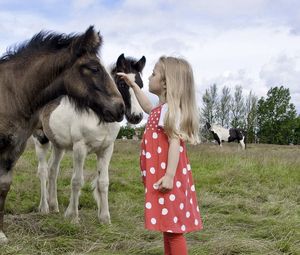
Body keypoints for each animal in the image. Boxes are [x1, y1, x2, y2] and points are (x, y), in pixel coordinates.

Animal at [0, 25, 124, 243]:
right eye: (94, 68)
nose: (121, 108)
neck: (11, 95)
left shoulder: (12, 151)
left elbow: (3, 188)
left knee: (51, 170)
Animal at [32, 53, 145, 223]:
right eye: (122, 84)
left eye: (141, 85)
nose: (136, 117)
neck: (99, 117)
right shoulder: (80, 148)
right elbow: (77, 181)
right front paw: (73, 215)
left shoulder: (106, 149)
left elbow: (103, 182)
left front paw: (105, 218)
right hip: (41, 140)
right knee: (43, 171)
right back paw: (44, 207)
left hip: (59, 145)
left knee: (53, 170)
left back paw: (54, 206)